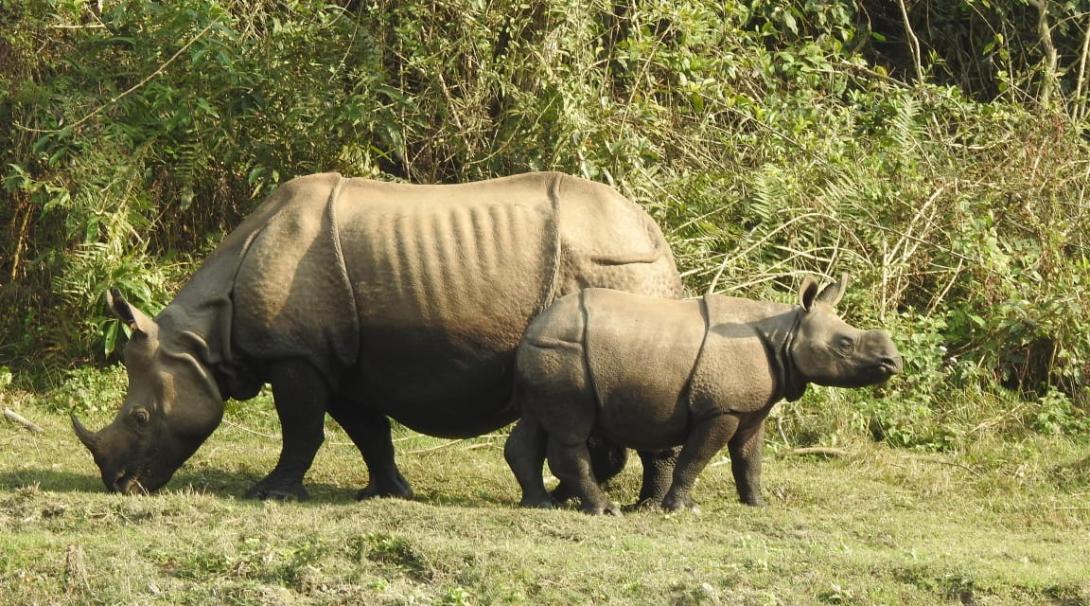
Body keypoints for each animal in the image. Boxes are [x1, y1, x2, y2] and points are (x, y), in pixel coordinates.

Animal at [72, 170, 680, 497]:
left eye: (140, 418)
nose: (118, 485)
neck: (202, 340)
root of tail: (655, 233)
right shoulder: (337, 358)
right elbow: (368, 431)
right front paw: (387, 493)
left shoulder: (296, 355)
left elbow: (301, 430)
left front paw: (269, 494)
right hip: (620, 268)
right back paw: (574, 496)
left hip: (618, 269)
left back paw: (646, 507)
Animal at [505, 276, 898, 514]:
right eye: (845, 344)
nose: (893, 361)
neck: (786, 334)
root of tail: (536, 325)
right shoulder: (722, 408)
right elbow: (695, 458)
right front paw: (680, 508)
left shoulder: (749, 410)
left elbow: (749, 459)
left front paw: (758, 504)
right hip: (566, 353)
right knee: (571, 430)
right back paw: (604, 510)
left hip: (548, 350)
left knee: (536, 423)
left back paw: (539, 504)